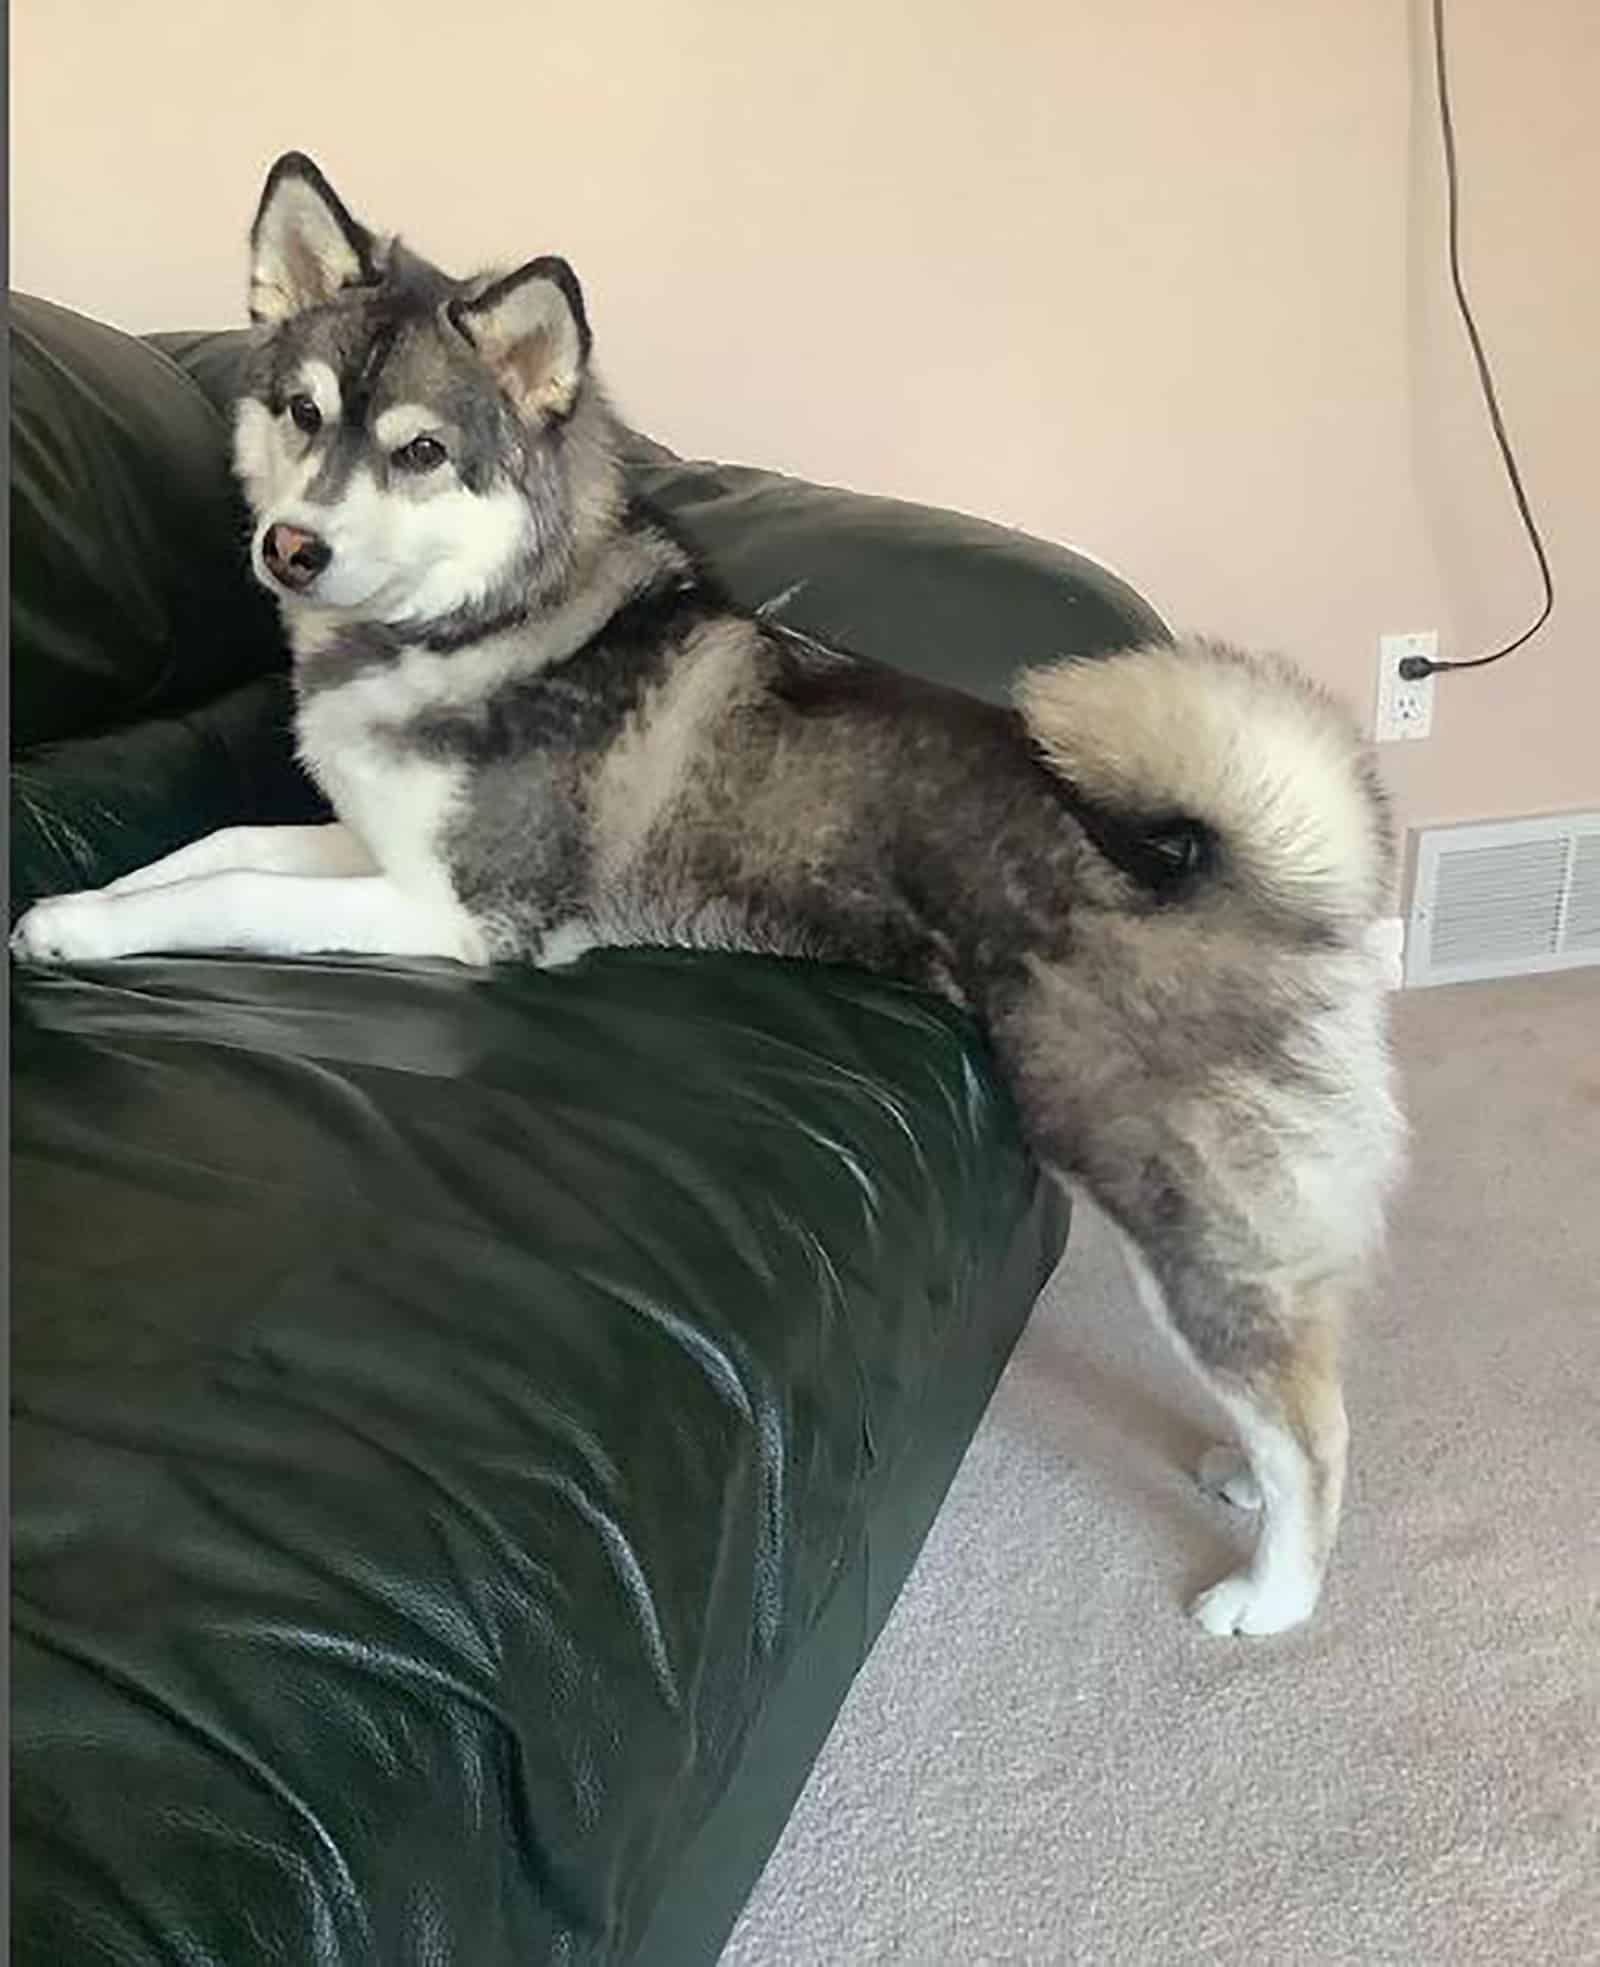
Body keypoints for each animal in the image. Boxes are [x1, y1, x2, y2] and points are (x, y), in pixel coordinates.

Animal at [21, 153, 1401, 1636]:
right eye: (301, 414)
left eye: (419, 451)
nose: (290, 547)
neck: (477, 625)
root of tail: (1272, 870)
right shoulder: (373, 849)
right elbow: (208, 845)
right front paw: (70, 905)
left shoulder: (459, 918)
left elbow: (225, 895)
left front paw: (98, 930)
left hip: (1159, 1178)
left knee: (1313, 1417)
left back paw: (1270, 1587)